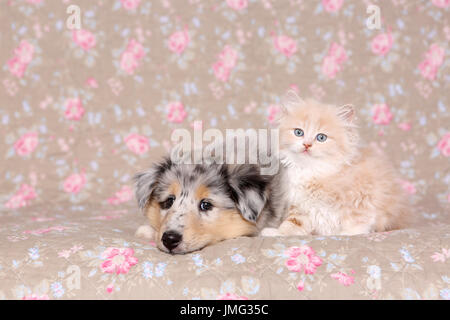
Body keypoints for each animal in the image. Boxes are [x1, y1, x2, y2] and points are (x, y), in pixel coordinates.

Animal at [260, 94, 412, 236]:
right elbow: (293, 224)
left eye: (321, 137)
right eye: (298, 132)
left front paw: (348, 234)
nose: (307, 145)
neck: (313, 171)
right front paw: (278, 233)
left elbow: (358, 220)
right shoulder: (300, 206)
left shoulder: (363, 197)